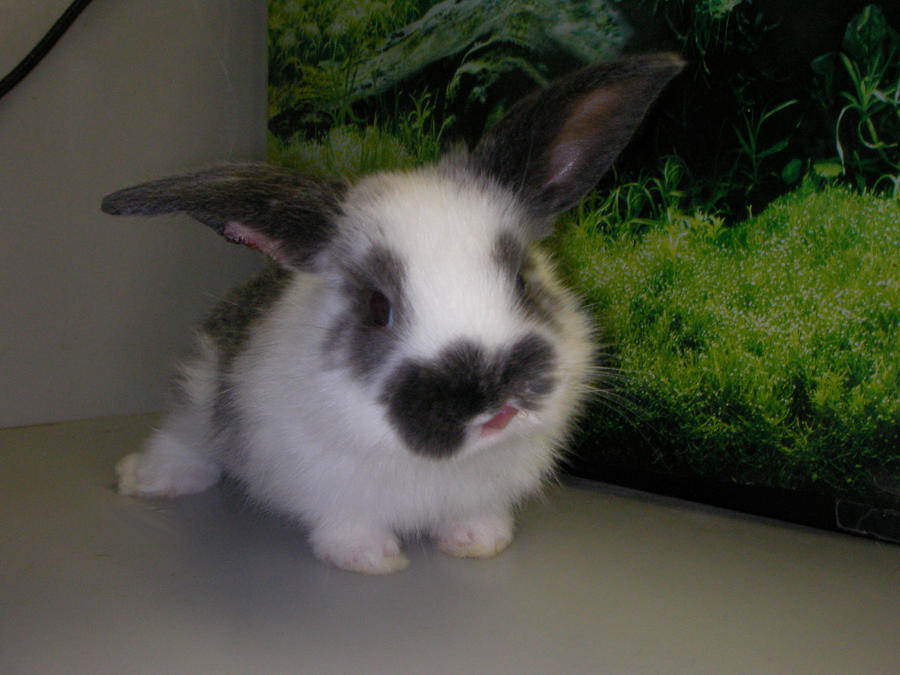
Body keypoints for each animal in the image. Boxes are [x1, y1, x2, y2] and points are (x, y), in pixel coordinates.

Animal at [102, 53, 683, 574]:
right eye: (377, 308)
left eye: (522, 279)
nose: (491, 397)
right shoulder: (326, 484)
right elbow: (347, 526)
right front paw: (374, 561)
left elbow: (478, 517)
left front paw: (479, 543)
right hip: (202, 387)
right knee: (182, 437)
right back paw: (142, 479)